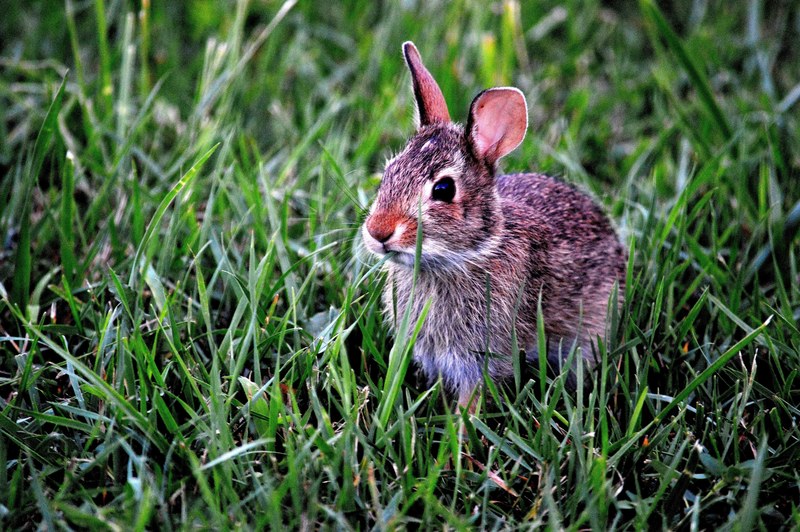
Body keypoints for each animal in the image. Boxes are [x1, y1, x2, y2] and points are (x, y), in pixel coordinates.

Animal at [361, 41, 627, 411]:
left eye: (443, 189)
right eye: (388, 172)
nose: (377, 231)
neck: (470, 254)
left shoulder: (483, 357)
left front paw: (461, 424)